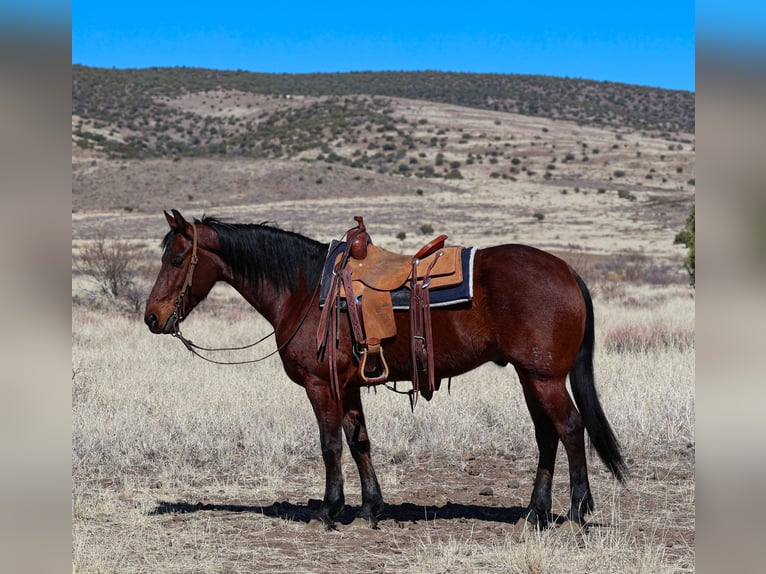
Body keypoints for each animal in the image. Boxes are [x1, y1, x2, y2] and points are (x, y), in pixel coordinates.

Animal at [147, 210, 628, 532]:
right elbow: (359, 442)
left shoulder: (321, 386)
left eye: (177, 259)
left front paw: (328, 510)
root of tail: (567, 271)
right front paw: (368, 509)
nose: (152, 317)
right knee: (547, 436)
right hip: (531, 377)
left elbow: (329, 446)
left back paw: (579, 511)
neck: (305, 290)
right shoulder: (349, 386)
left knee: (571, 428)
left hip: (544, 379)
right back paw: (535, 513)